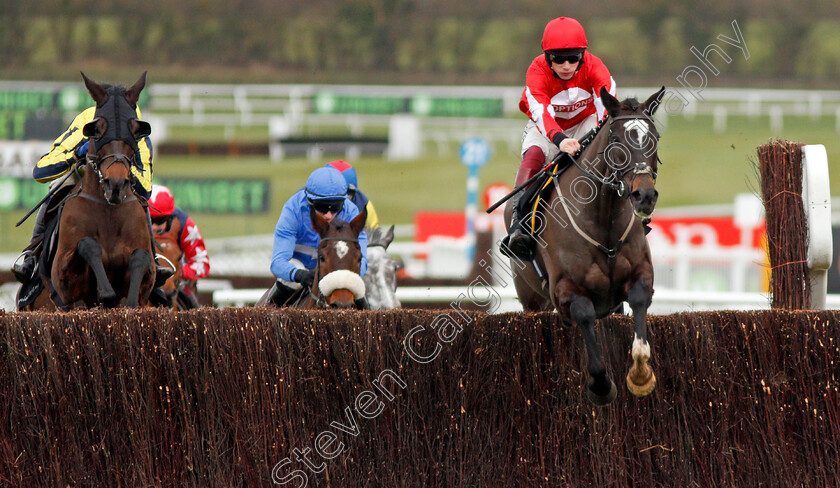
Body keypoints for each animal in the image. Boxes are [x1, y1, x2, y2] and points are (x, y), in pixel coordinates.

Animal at [24, 72, 156, 308]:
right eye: (97, 129)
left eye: (135, 131)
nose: (116, 184)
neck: (109, 211)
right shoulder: (64, 282)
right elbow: (88, 244)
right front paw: (105, 292)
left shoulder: (145, 282)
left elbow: (141, 259)